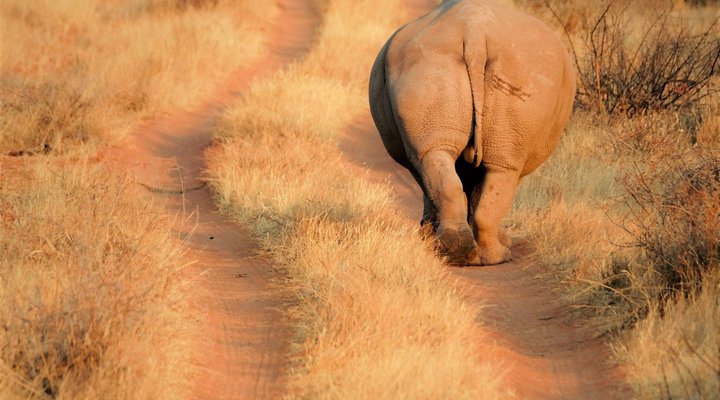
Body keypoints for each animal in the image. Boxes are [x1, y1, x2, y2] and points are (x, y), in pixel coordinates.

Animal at [369, 0, 576, 266]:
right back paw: (497, 255)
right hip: (522, 75)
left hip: (430, 67)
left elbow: (434, 185)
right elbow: (475, 189)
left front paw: (429, 235)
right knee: (501, 170)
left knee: (438, 156)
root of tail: (475, 34)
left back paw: (456, 251)